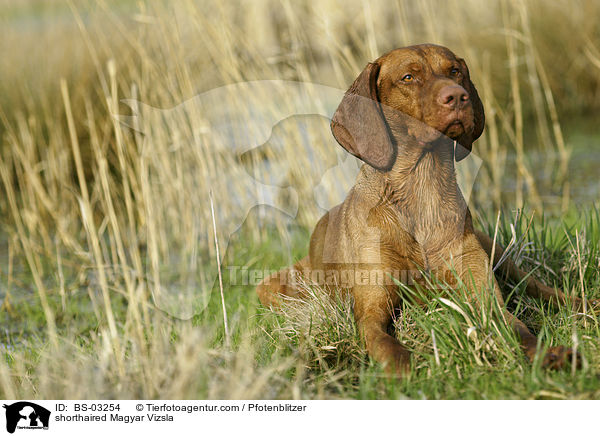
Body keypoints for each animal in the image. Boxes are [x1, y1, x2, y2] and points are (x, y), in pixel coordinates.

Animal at [256, 43, 592, 372]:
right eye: (408, 77)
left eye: (454, 71)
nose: (457, 96)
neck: (421, 187)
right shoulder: (371, 312)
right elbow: (385, 343)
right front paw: (402, 369)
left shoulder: (484, 297)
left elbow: (520, 329)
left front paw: (551, 354)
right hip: (272, 287)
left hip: (496, 251)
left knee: (536, 285)